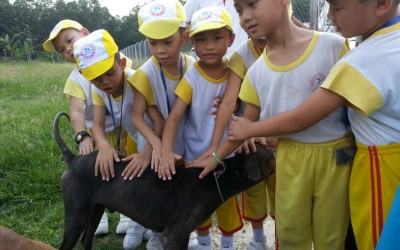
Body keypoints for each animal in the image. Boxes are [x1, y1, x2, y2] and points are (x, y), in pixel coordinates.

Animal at [54, 113, 276, 250]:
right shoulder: (174, 234)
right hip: (76, 216)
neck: (215, 179)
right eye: (271, 157)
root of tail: (73, 159)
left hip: (94, 210)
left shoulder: (184, 234)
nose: (276, 147)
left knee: (86, 239)